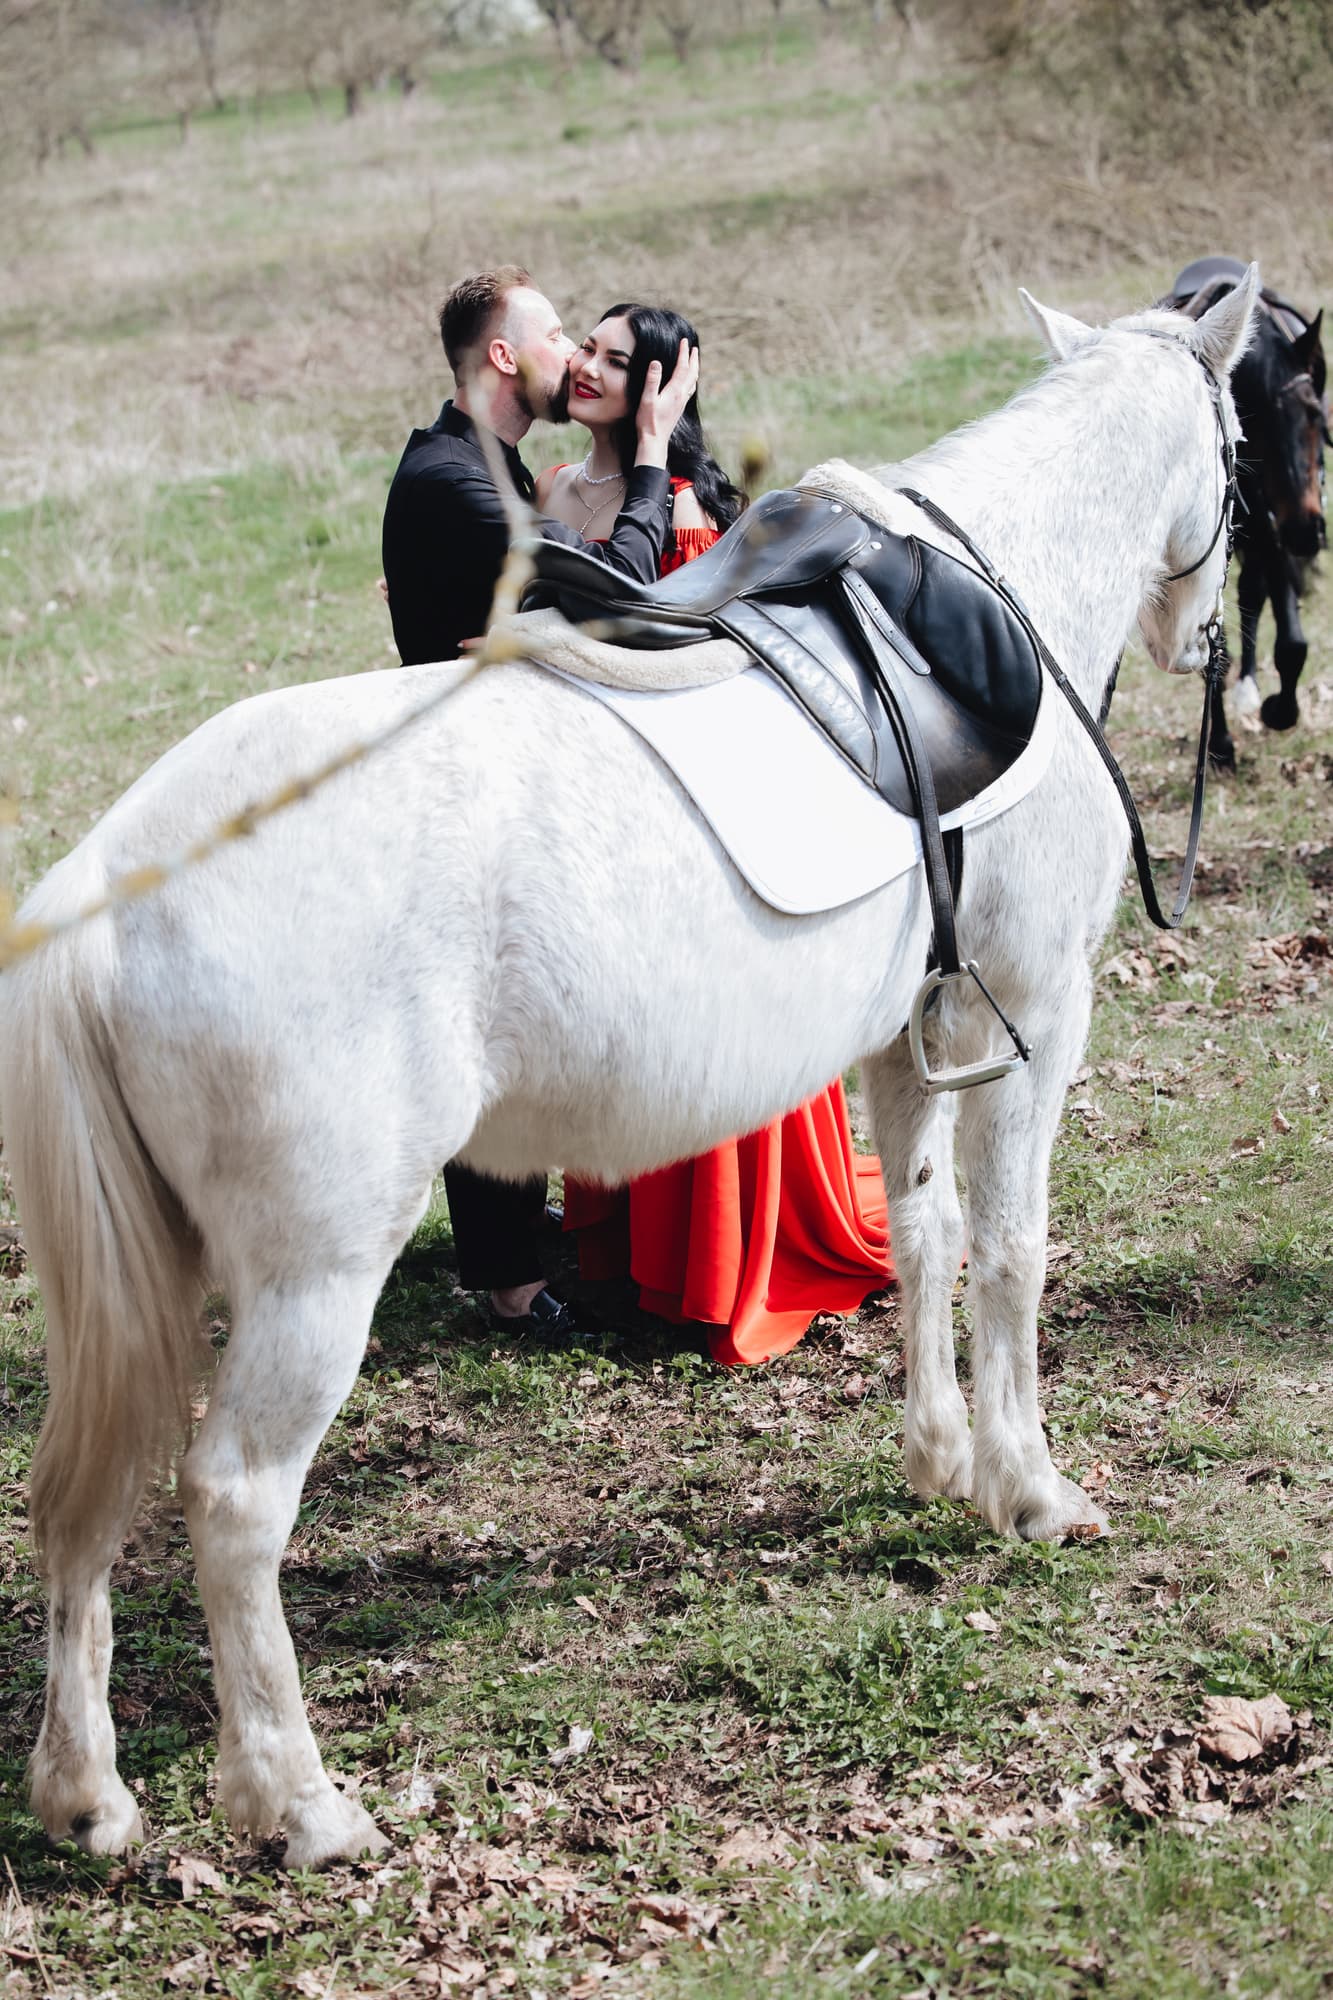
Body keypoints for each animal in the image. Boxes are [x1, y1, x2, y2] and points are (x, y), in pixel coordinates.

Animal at [0, 270, 1258, 1868]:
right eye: (1242, 450)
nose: (1201, 642)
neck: (996, 595)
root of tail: (113, 875)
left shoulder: (912, 1038)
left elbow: (924, 1235)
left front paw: (939, 1461)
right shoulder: (1034, 1019)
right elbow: (1015, 1252)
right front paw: (1029, 1487)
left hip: (139, 1284)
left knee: (79, 1500)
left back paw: (85, 1791)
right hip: (311, 1278)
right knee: (230, 1502)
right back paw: (299, 1799)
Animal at [1165, 256, 1328, 769]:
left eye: (1315, 415)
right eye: (1257, 425)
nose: (1306, 531)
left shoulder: (1277, 534)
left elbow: (1292, 643)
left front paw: (1280, 710)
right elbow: (1212, 652)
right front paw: (1219, 745)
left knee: (1253, 595)